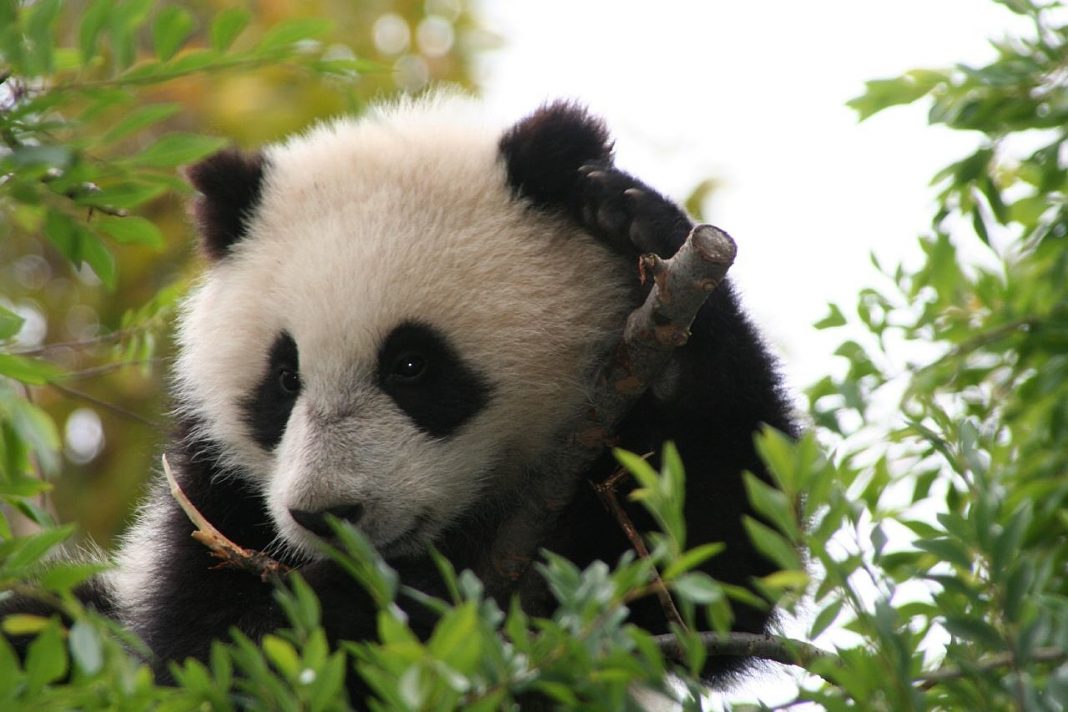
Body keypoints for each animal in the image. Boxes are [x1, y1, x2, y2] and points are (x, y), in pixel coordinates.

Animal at [10, 93, 797, 701]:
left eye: (412, 366)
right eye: (284, 379)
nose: (326, 515)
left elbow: (711, 570)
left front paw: (633, 222)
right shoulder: (211, 500)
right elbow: (213, 653)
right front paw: (357, 608)